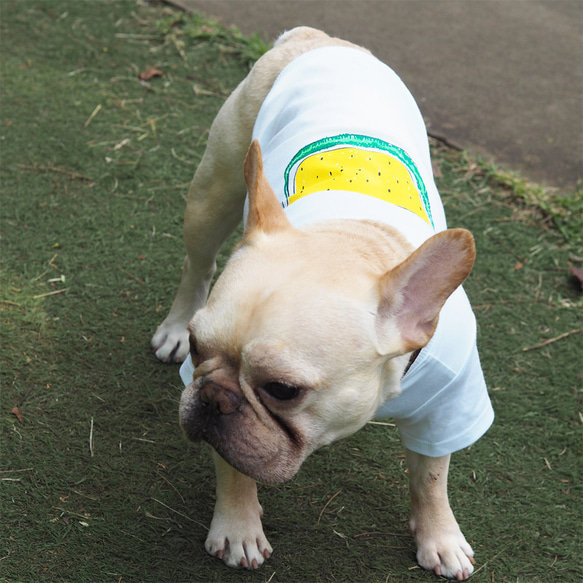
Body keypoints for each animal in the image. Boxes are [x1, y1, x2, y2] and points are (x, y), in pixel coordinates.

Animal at [151, 26, 492, 580]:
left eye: (283, 390)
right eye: (201, 350)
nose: (213, 397)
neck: (351, 238)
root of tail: (319, 38)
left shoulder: (449, 404)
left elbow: (431, 477)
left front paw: (440, 536)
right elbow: (233, 462)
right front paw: (238, 525)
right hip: (213, 193)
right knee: (197, 264)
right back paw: (174, 325)